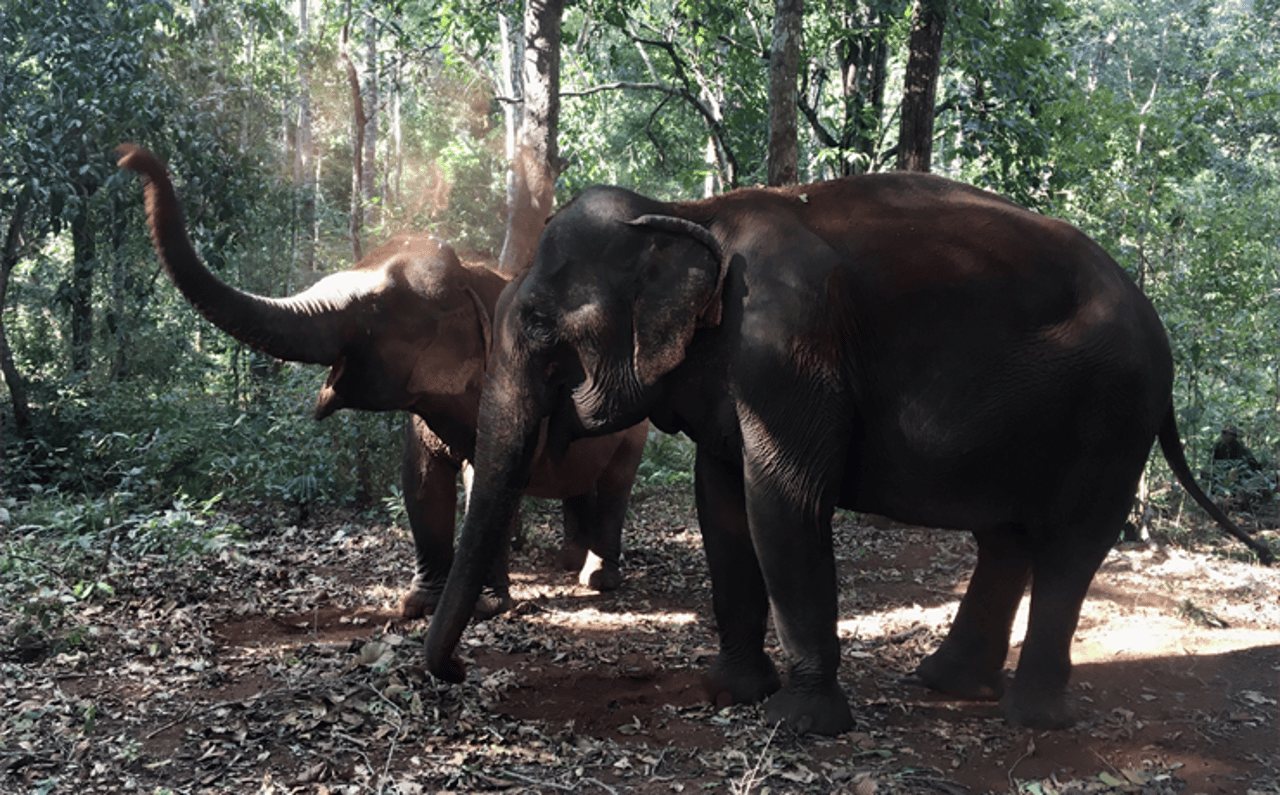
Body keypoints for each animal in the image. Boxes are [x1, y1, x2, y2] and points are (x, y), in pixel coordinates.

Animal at [116, 144, 650, 619]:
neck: (471, 275)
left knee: (616, 485)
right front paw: (417, 606)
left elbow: (486, 481)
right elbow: (419, 482)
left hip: (635, 430)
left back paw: (597, 579)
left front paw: (486, 607)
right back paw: (567, 564)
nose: (127, 158)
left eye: (376, 310)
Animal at [424, 171, 1274, 732]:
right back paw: (946, 683)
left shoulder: (787, 346)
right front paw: (731, 691)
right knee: (1006, 537)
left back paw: (1034, 717)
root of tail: (1155, 321)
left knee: (1070, 543)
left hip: (1112, 415)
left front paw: (801, 723)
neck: (690, 212)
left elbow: (784, 502)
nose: (460, 669)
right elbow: (719, 500)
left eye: (539, 321)